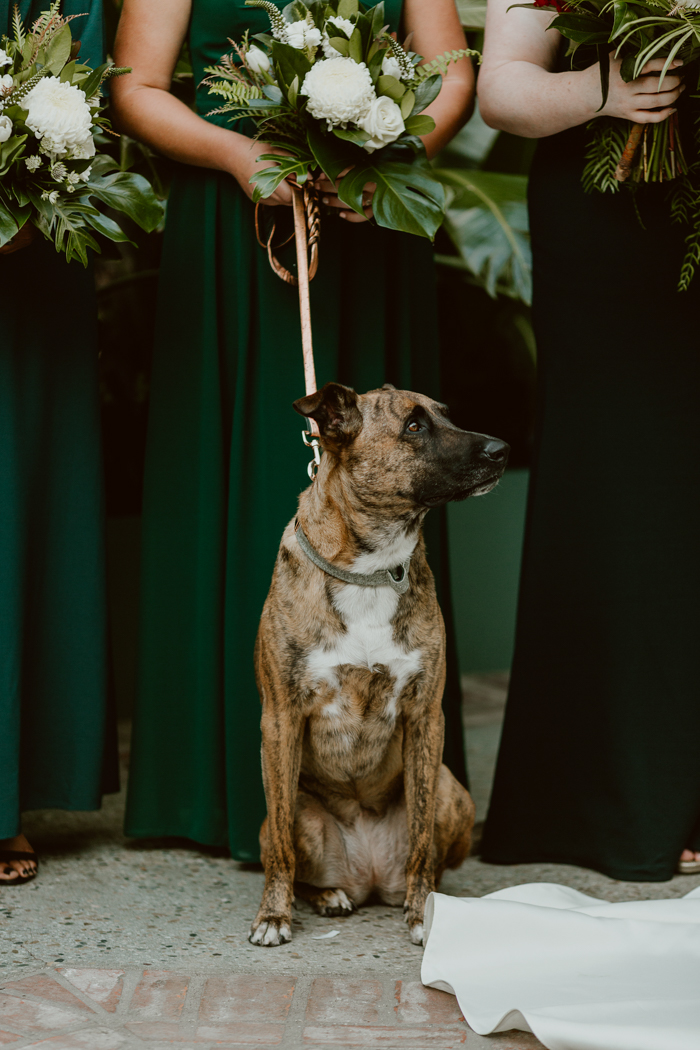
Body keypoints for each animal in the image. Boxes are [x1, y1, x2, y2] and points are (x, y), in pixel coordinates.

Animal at [251, 382, 510, 949]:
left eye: (447, 416)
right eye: (414, 426)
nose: (502, 449)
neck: (371, 570)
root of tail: (368, 878)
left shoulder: (426, 716)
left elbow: (421, 840)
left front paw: (423, 913)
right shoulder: (280, 720)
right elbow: (280, 850)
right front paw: (273, 916)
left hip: (451, 791)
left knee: (430, 848)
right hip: (295, 814)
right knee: (292, 852)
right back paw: (327, 895)